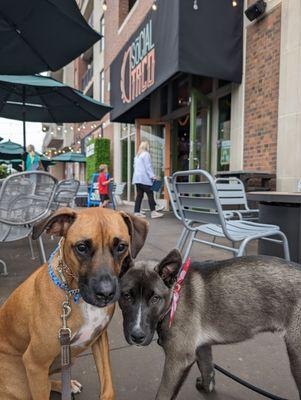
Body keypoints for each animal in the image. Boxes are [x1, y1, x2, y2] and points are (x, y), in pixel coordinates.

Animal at [0, 206, 148, 400]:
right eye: (82, 247)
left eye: (121, 247)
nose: (106, 293)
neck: (73, 292)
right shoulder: (35, 363)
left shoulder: (100, 339)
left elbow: (108, 387)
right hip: (22, 383)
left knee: (49, 383)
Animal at [118, 250, 300, 400]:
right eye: (126, 296)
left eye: (155, 298)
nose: (137, 336)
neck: (175, 295)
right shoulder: (201, 347)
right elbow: (207, 368)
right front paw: (207, 387)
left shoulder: (178, 359)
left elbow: (163, 394)